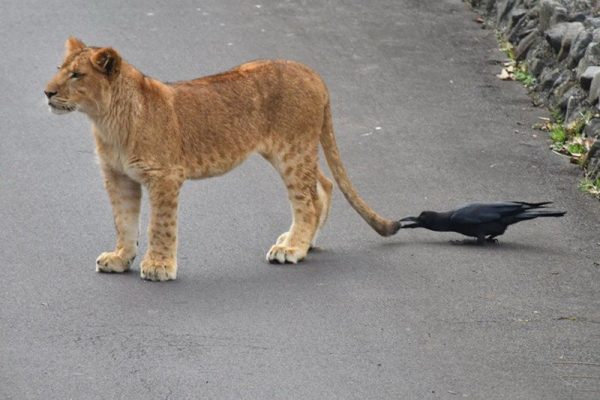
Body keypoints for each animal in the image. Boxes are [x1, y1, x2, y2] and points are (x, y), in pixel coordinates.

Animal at [45, 37, 404, 282]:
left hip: (292, 150)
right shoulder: (117, 176)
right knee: (324, 186)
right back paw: (303, 242)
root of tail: (310, 71)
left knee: (308, 200)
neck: (106, 120)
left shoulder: (165, 175)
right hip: (290, 151)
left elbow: (159, 225)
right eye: (60, 70)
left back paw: (292, 249)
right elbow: (123, 221)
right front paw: (120, 257)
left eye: (76, 75)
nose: (47, 92)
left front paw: (159, 266)